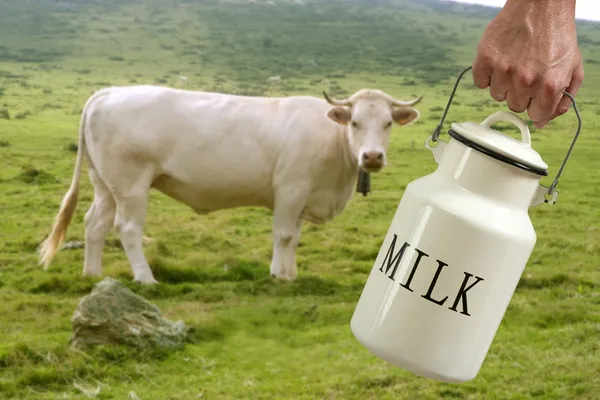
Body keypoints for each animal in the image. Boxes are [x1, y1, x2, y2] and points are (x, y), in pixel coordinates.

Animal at [38, 86, 422, 282]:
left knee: (95, 224)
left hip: (105, 184)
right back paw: (145, 277)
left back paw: (92, 273)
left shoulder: (303, 197)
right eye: (355, 122)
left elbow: (294, 238)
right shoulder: (291, 189)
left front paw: (290, 273)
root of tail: (108, 92)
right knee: (127, 228)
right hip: (131, 184)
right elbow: (284, 235)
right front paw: (280, 276)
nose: (372, 157)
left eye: (388, 123)